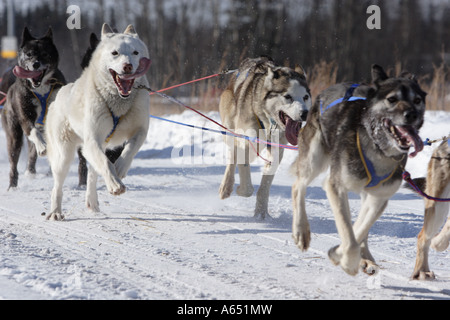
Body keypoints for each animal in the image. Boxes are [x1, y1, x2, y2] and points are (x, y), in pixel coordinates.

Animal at [1, 27, 66, 190]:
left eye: (44, 54)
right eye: (29, 54)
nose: (35, 64)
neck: (41, 89)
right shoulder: (26, 117)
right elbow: (34, 132)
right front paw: (42, 146)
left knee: (31, 154)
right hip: (14, 137)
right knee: (14, 163)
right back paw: (12, 186)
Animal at [45, 24, 151, 220]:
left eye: (135, 52)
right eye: (115, 53)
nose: (128, 66)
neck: (119, 102)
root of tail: (60, 94)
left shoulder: (140, 130)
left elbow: (129, 151)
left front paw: (120, 169)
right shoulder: (93, 139)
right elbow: (105, 164)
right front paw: (115, 184)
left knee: (92, 174)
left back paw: (92, 201)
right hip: (64, 154)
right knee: (58, 185)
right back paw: (55, 211)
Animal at [219, 56, 312, 219]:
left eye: (305, 97)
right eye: (288, 96)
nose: (304, 113)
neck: (268, 120)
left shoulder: (276, 150)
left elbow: (265, 186)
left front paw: (261, 213)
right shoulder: (245, 140)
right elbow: (247, 186)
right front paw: (241, 190)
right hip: (231, 129)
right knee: (232, 156)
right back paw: (226, 186)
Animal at [292, 65, 426, 276]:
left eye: (417, 100)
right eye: (392, 99)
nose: (411, 114)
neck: (377, 147)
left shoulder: (378, 198)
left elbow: (358, 230)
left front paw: (342, 254)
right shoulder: (335, 186)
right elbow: (349, 233)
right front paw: (346, 260)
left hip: (365, 193)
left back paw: (366, 259)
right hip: (314, 160)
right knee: (298, 186)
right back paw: (301, 231)